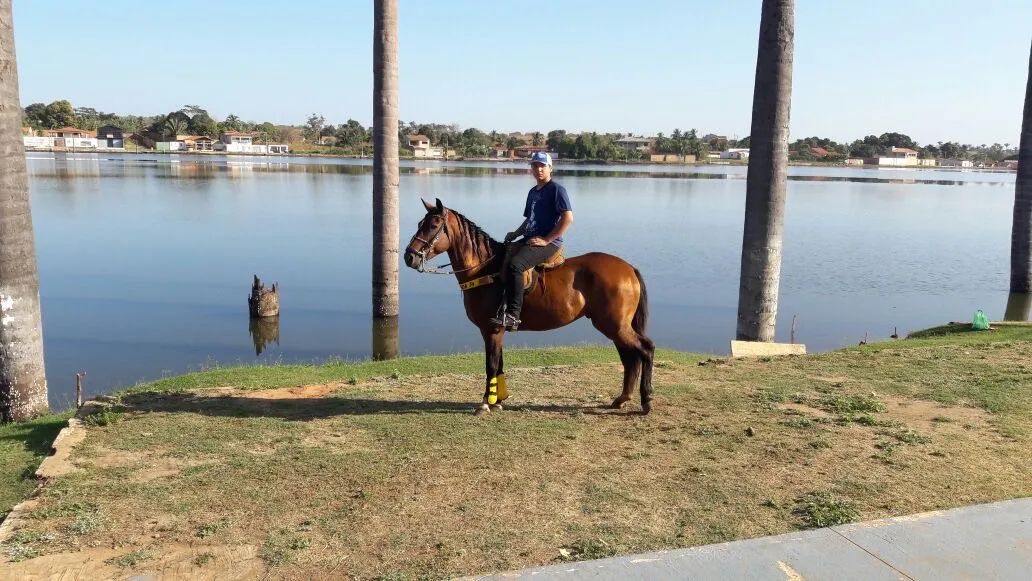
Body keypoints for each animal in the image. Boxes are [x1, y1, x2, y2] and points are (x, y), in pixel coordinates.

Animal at [403, 198, 655, 415]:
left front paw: (485, 403)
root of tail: (628, 268)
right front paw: (498, 400)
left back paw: (646, 400)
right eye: (419, 224)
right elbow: (499, 364)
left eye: (434, 225)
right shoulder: (496, 330)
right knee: (629, 358)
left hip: (615, 325)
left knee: (646, 349)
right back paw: (622, 398)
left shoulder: (491, 329)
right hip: (615, 326)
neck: (485, 270)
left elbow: (491, 365)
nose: (409, 257)